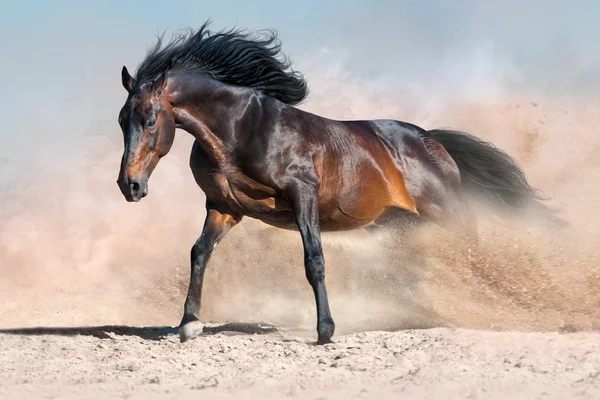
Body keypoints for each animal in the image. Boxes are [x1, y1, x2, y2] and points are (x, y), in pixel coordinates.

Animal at [116, 21, 556, 344]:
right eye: (122, 120)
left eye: (150, 120)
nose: (129, 186)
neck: (241, 128)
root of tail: (433, 142)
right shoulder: (224, 207)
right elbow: (199, 252)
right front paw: (189, 323)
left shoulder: (302, 195)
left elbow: (314, 260)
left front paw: (325, 331)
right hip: (401, 223)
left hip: (448, 214)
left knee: (473, 254)